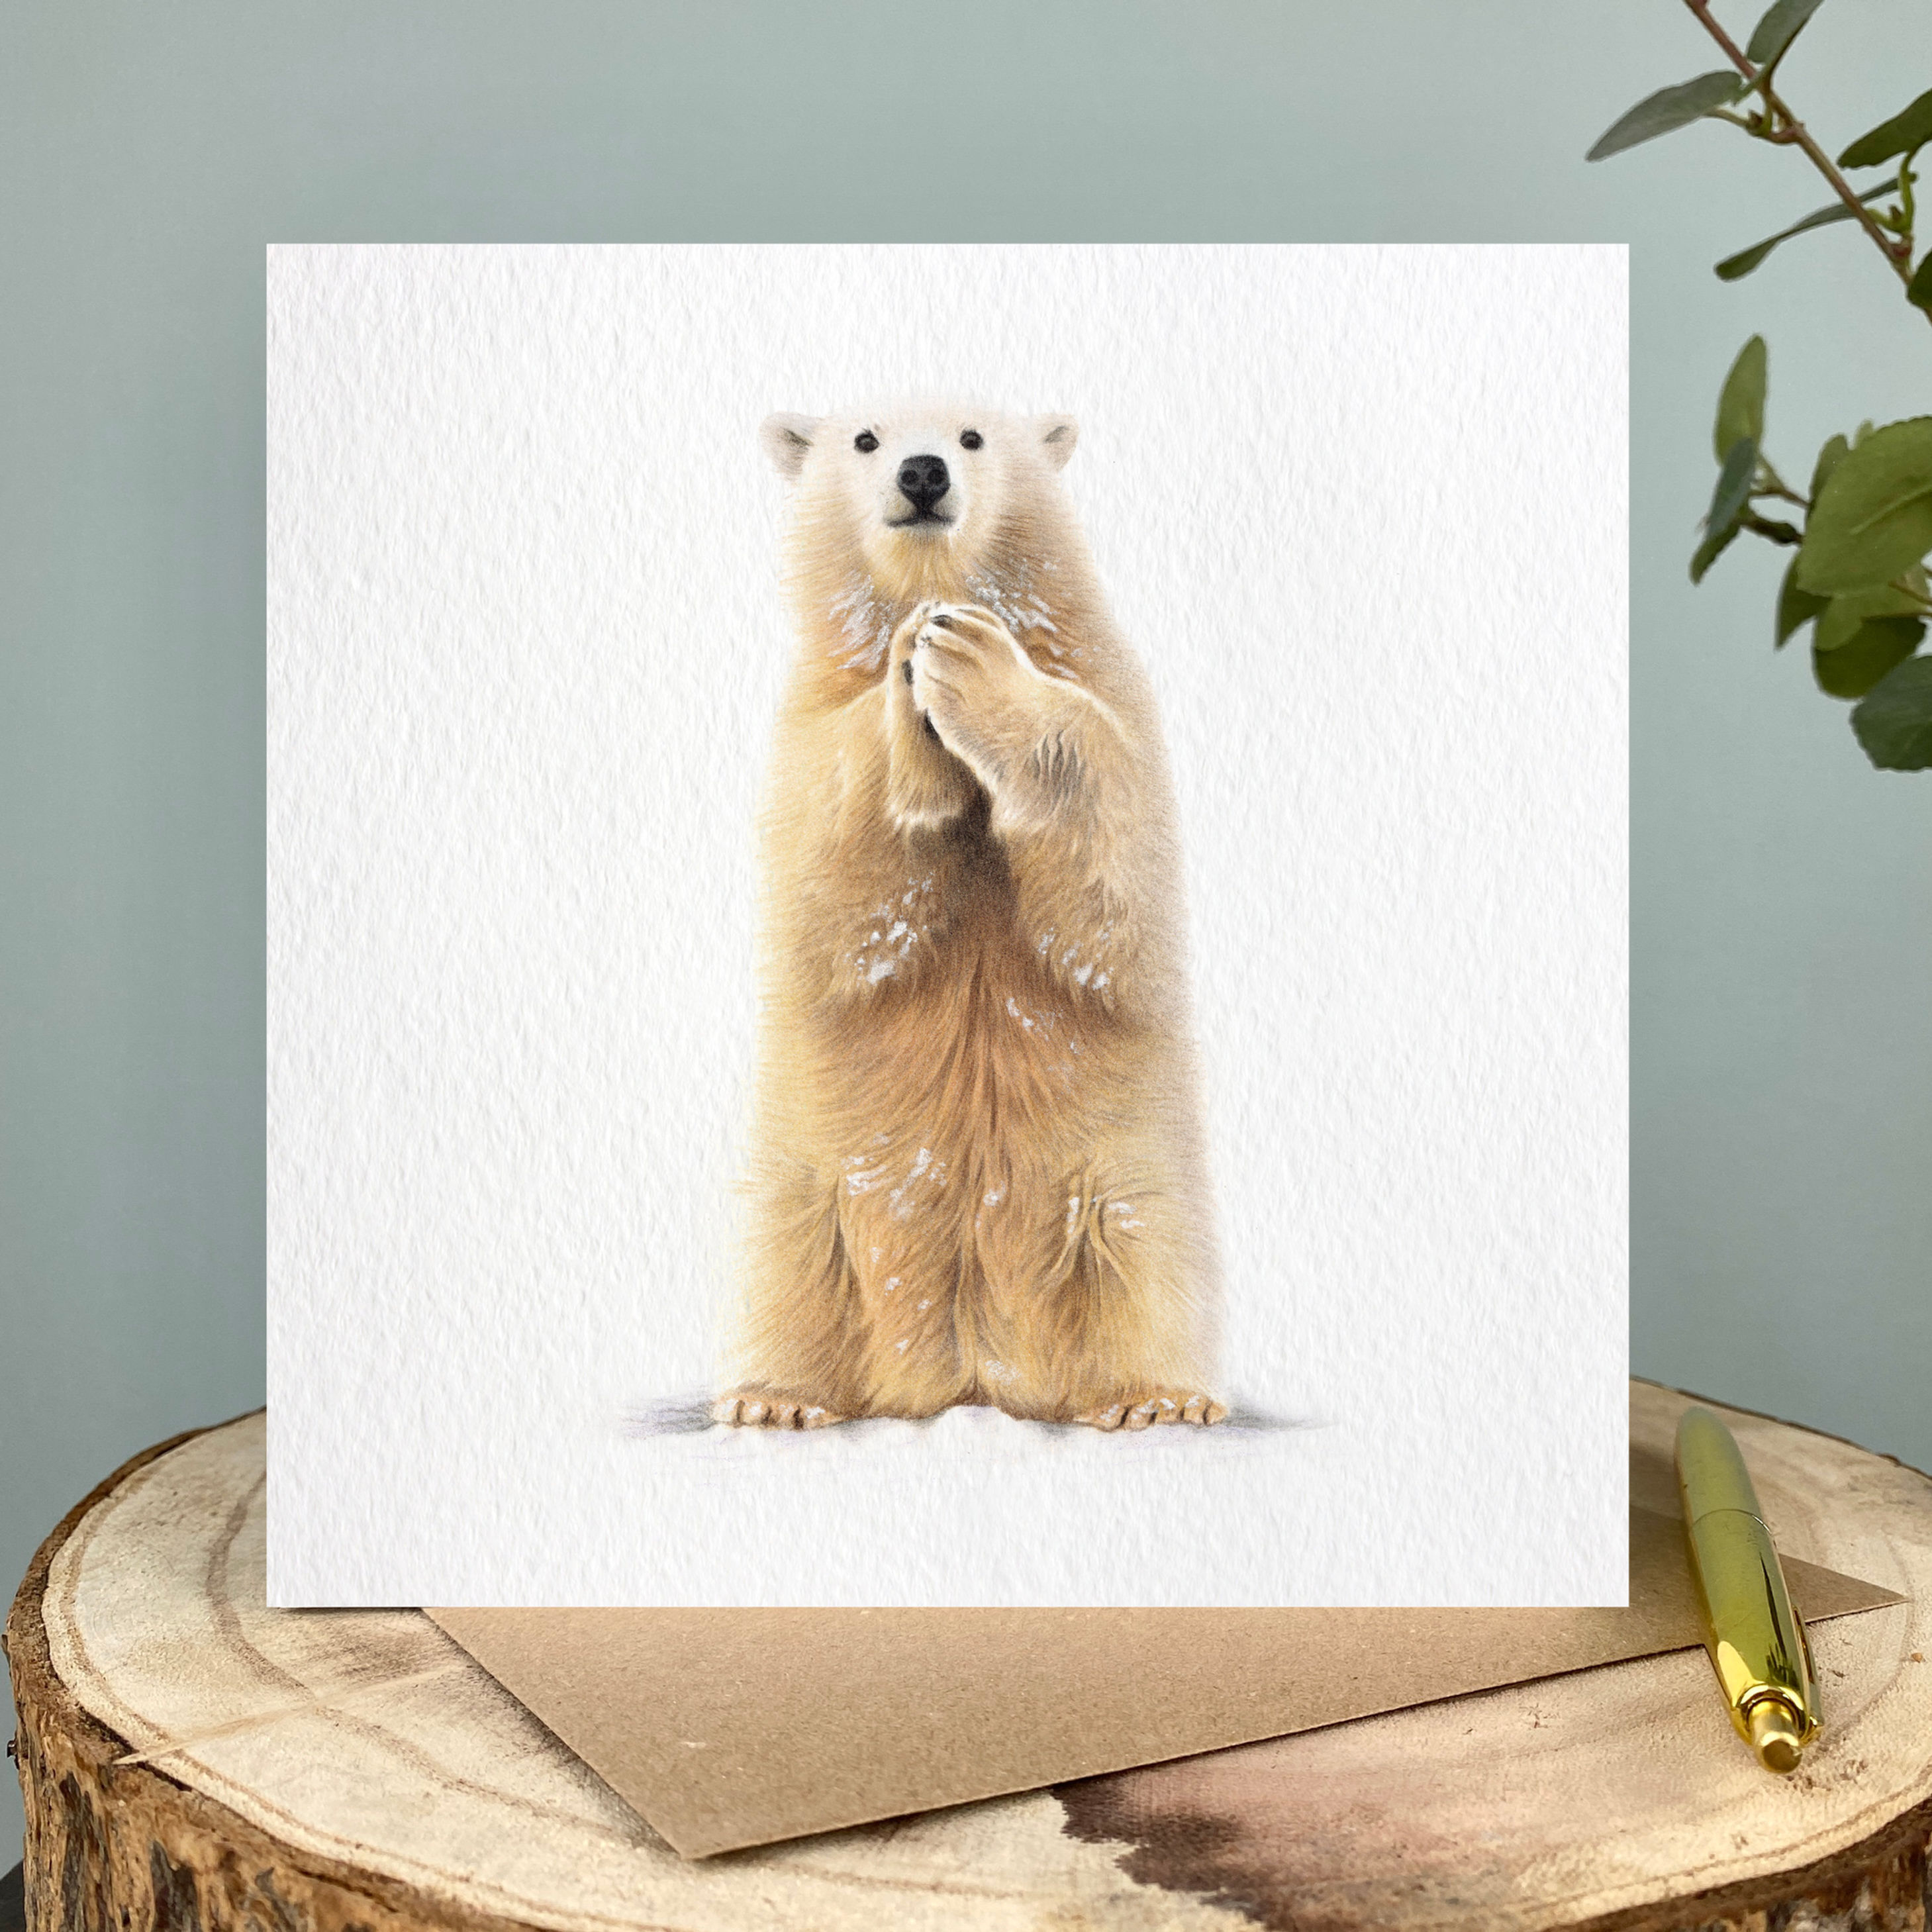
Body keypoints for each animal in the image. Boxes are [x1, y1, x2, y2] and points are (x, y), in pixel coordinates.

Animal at [710, 400, 1224, 1432]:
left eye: (976, 437)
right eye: (864, 438)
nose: (922, 472)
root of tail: (972, 1369)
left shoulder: (1111, 685)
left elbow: (1117, 869)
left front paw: (969, 657)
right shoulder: (802, 728)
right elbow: (831, 875)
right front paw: (913, 666)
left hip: (1123, 1174)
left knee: (1145, 1250)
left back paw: (1152, 1397)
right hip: (806, 1182)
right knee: (790, 1256)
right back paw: (772, 1397)